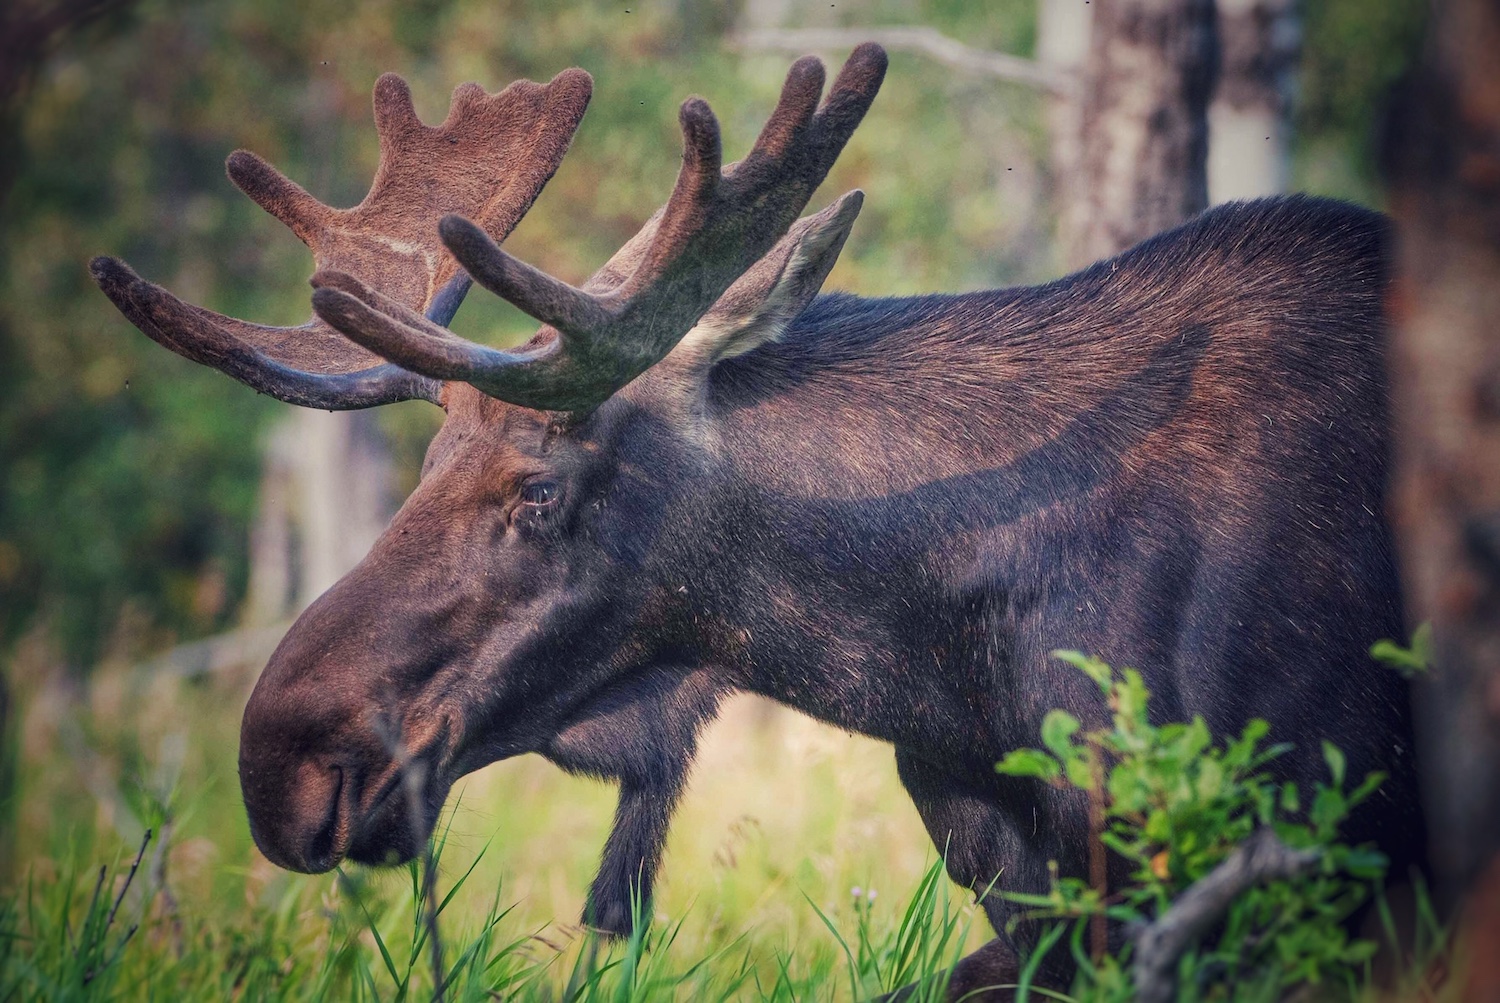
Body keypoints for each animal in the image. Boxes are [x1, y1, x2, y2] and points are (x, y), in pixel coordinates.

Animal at [87, 44, 1422, 995]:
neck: (945, 676)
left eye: (538, 490)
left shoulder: (1283, 859)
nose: (281, 762)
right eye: (424, 466)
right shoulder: (1039, 892)